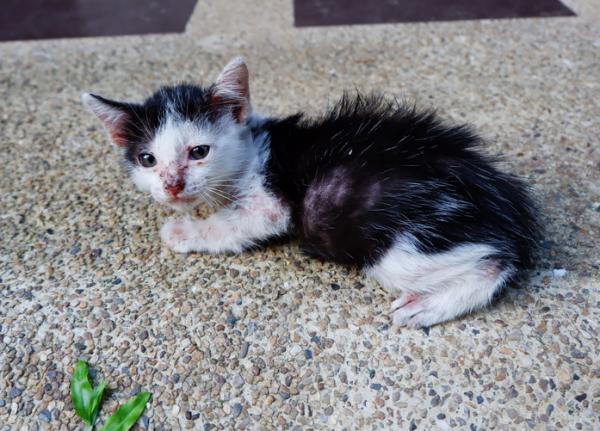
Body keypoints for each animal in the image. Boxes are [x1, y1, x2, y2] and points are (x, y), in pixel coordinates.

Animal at [82, 56, 536, 328]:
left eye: (199, 152)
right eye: (147, 159)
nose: (172, 185)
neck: (251, 148)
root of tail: (504, 203)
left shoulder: (270, 203)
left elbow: (229, 225)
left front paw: (181, 231)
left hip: (390, 241)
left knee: (495, 264)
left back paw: (428, 306)